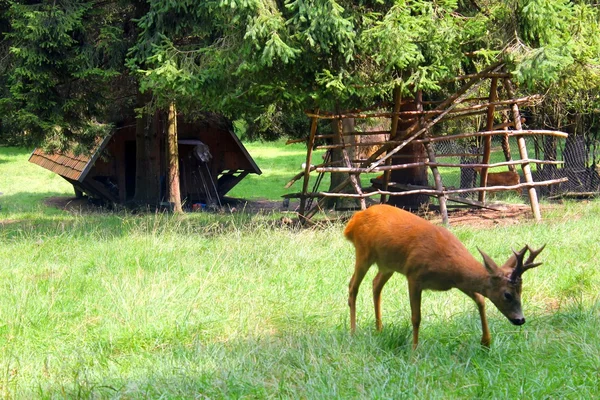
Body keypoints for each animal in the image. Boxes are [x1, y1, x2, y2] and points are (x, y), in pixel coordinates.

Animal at [342, 205, 544, 348]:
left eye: (521, 292)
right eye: (507, 295)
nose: (520, 320)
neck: (448, 265)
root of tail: (352, 221)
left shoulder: (459, 282)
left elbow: (480, 300)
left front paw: (486, 342)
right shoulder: (414, 275)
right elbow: (416, 317)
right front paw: (414, 351)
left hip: (387, 264)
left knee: (376, 285)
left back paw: (379, 329)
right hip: (363, 252)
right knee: (353, 286)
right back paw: (353, 332)